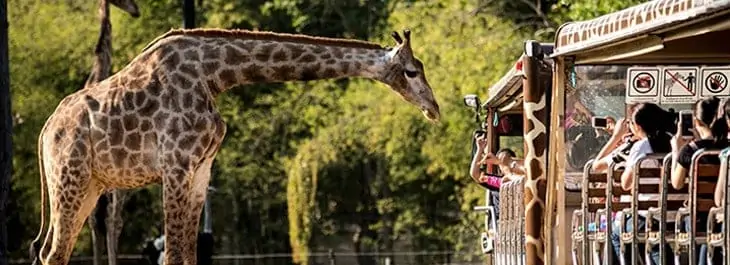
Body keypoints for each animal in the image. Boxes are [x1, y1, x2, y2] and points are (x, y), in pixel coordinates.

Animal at [29, 28, 438, 264]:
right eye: (411, 71)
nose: (433, 108)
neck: (214, 75)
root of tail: (45, 131)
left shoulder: (200, 169)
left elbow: (188, 255)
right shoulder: (176, 164)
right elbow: (173, 254)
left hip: (90, 187)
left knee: (51, 251)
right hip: (69, 179)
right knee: (54, 250)